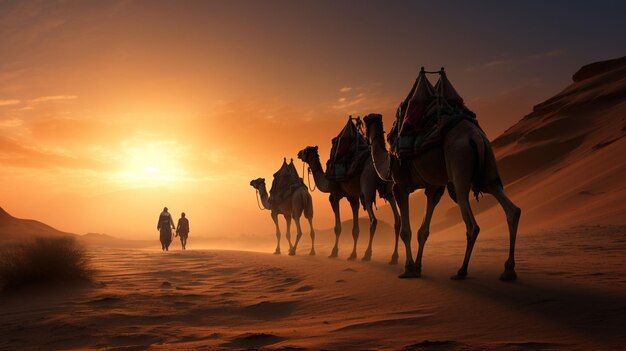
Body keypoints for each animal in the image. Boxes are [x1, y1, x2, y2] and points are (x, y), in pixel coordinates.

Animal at [360, 114, 516, 282]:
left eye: (364, 123)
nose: (366, 140)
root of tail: (475, 136)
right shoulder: (433, 188)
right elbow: (423, 231)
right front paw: (418, 267)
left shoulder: (401, 184)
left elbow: (406, 231)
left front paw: (409, 268)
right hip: (489, 167)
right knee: (510, 207)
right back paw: (508, 270)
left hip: (459, 161)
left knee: (471, 222)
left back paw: (461, 271)